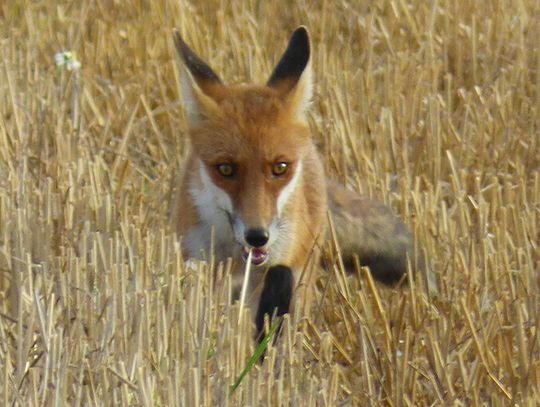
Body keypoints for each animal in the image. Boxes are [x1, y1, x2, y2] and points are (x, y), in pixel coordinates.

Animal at [170, 27, 418, 342]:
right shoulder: (199, 261)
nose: (257, 236)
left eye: (280, 168)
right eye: (225, 169)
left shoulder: (276, 272)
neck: (238, 259)